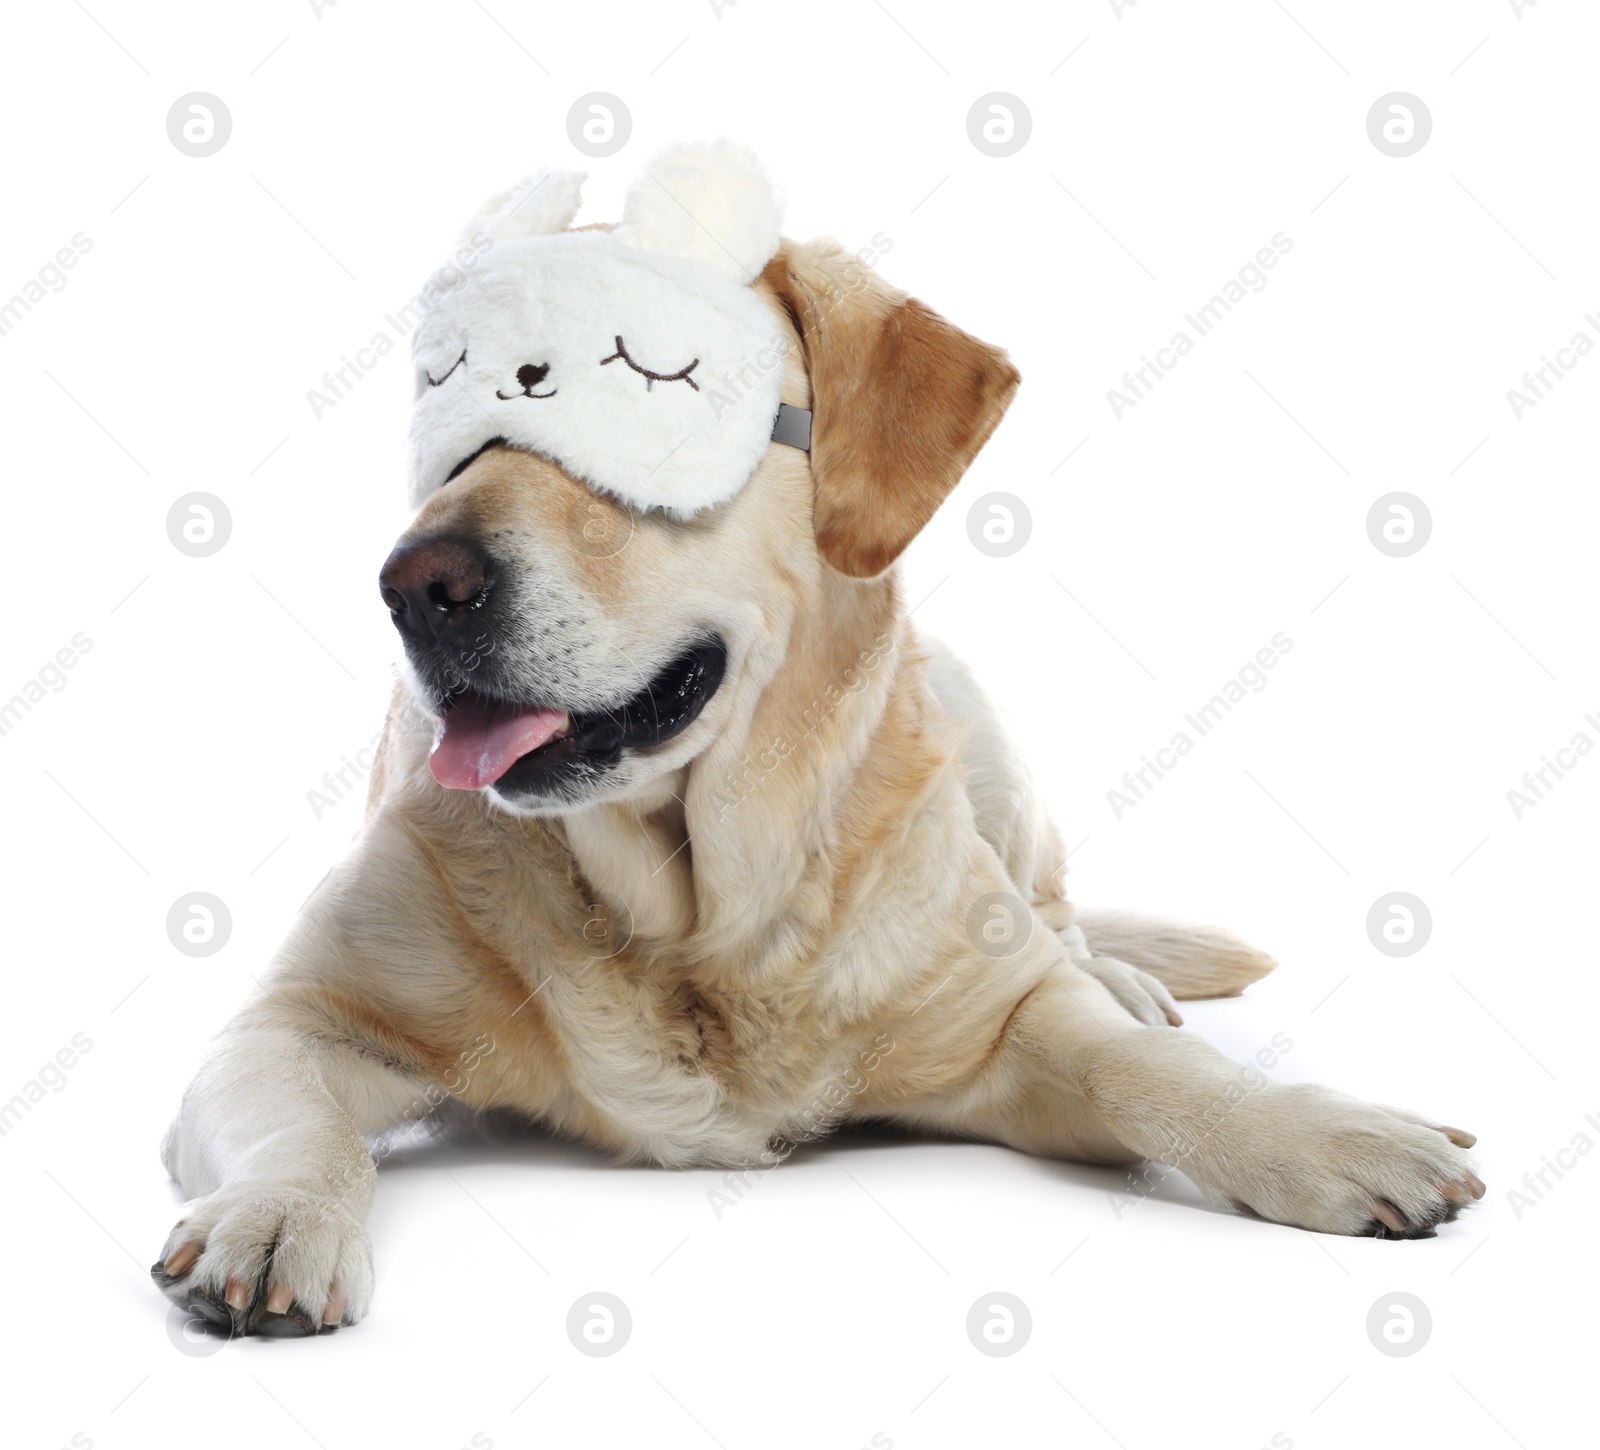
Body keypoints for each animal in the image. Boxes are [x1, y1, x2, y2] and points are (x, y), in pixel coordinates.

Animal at [156, 147, 1478, 1331]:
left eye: (648, 384)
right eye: (452, 417)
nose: (416, 585)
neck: (699, 915)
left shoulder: (999, 1018)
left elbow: (1142, 1068)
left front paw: (1320, 1128)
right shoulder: (293, 1017)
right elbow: (294, 1119)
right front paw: (275, 1214)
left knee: (1058, 919)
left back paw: (1120, 973)